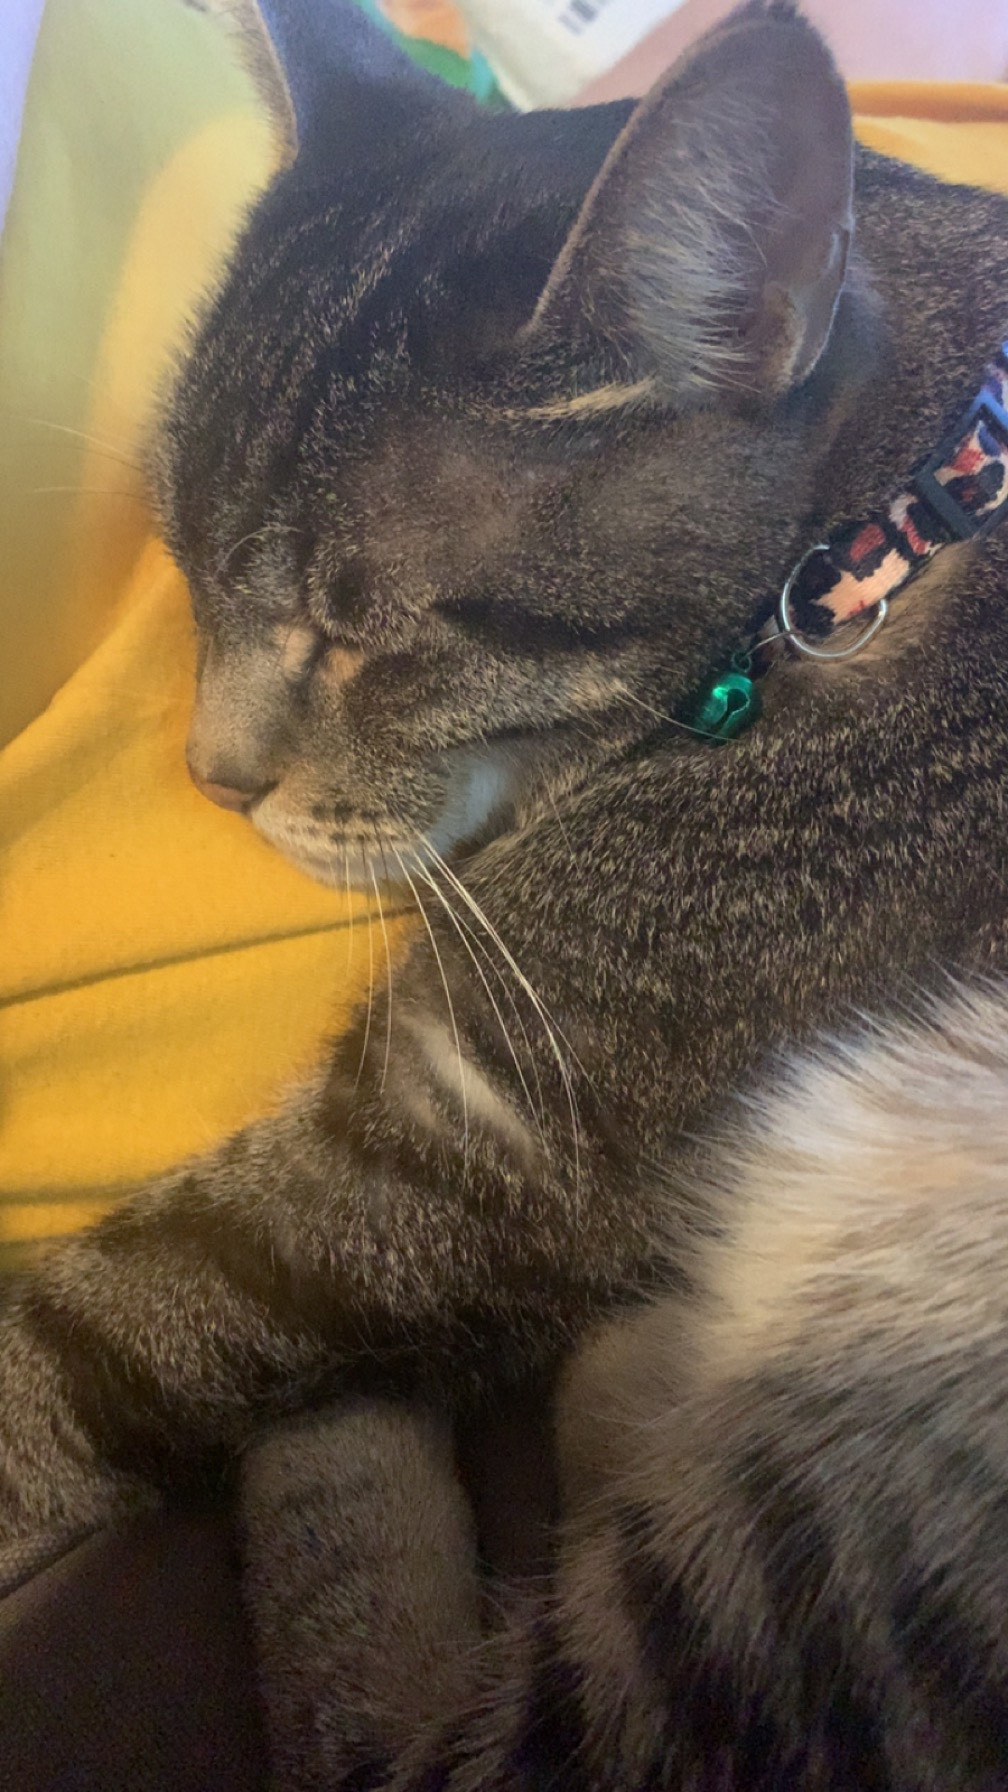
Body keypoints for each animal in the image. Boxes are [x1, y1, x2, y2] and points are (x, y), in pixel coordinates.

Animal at [1, 0, 1004, 1784]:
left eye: (356, 637)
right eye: (183, 574)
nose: (208, 776)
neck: (872, 546)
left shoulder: (470, 1136)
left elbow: (88, 1338)